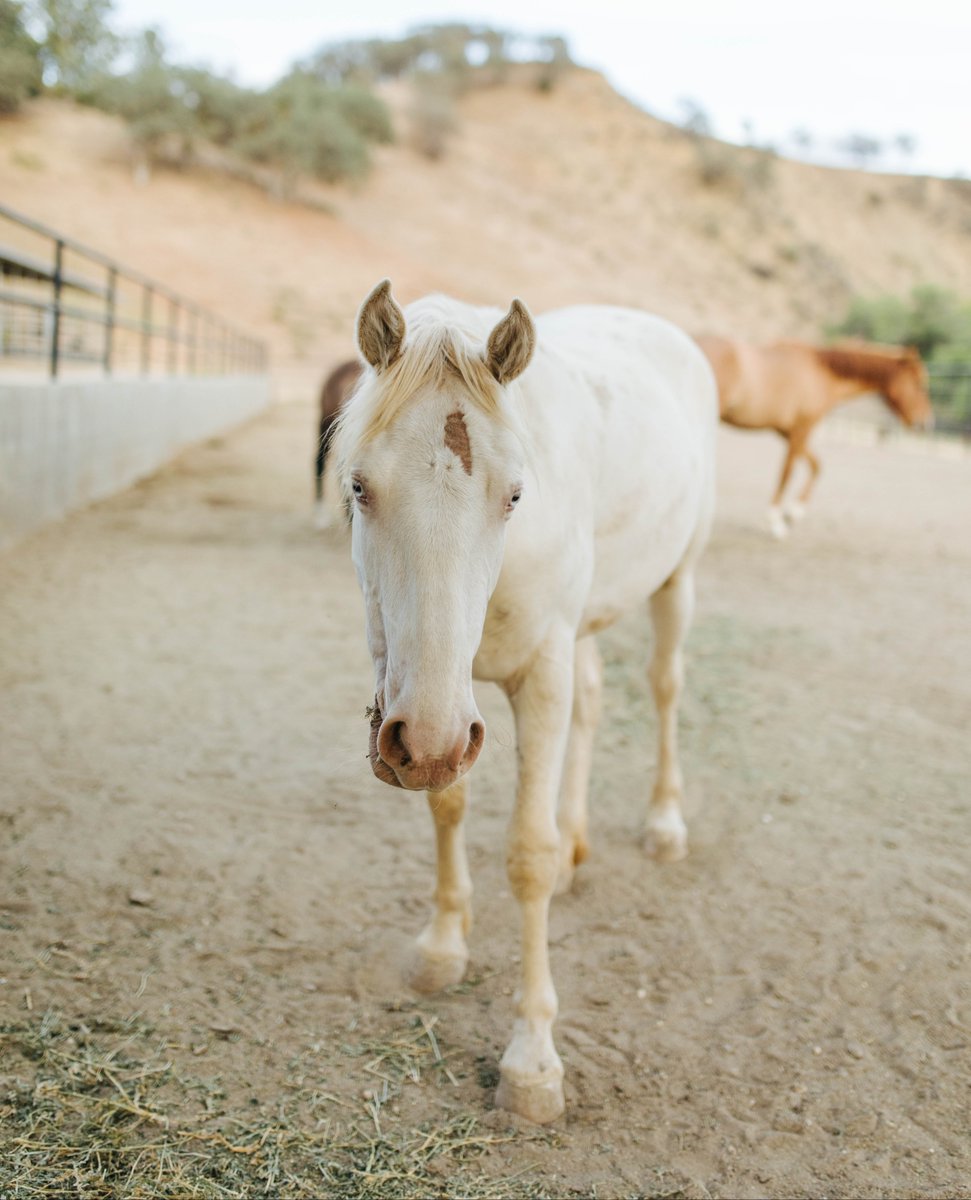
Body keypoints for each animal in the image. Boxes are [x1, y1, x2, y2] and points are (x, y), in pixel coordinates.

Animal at [331, 279, 718, 1123]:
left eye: (513, 494)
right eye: (357, 486)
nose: (424, 744)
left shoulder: (531, 675)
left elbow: (526, 857)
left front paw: (533, 1061)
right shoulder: (440, 704)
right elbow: (447, 803)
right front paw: (442, 946)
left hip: (677, 578)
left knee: (664, 686)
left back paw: (663, 824)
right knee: (594, 701)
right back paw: (578, 843)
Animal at [694, 335, 933, 537]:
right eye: (920, 384)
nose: (926, 423)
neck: (821, 373)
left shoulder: (789, 433)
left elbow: (816, 465)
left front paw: (794, 511)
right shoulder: (802, 428)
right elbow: (787, 472)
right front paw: (775, 521)